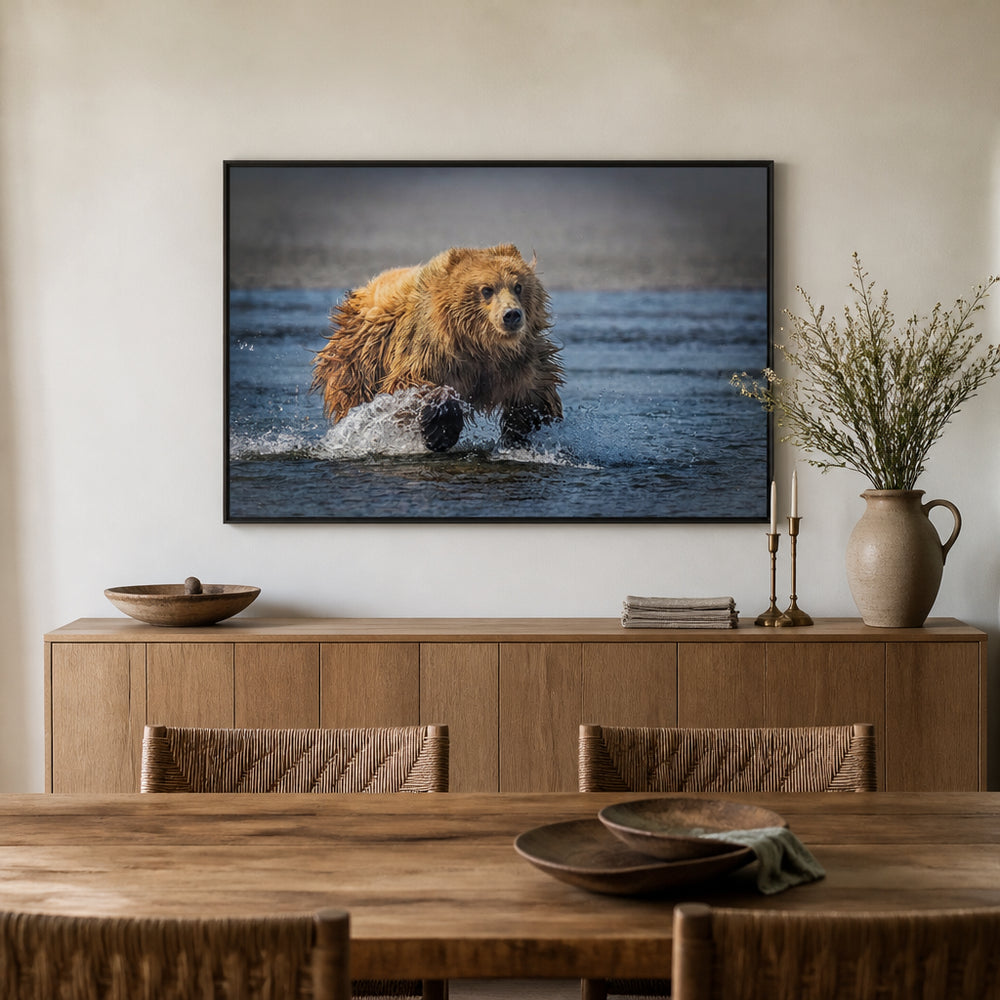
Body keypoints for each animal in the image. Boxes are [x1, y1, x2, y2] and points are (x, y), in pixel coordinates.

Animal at [310, 244, 564, 451]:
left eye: (518, 286)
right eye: (487, 289)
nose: (511, 315)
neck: (482, 345)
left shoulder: (519, 362)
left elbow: (535, 394)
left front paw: (519, 433)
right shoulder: (431, 351)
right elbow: (409, 385)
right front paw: (441, 431)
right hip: (360, 359)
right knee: (353, 397)